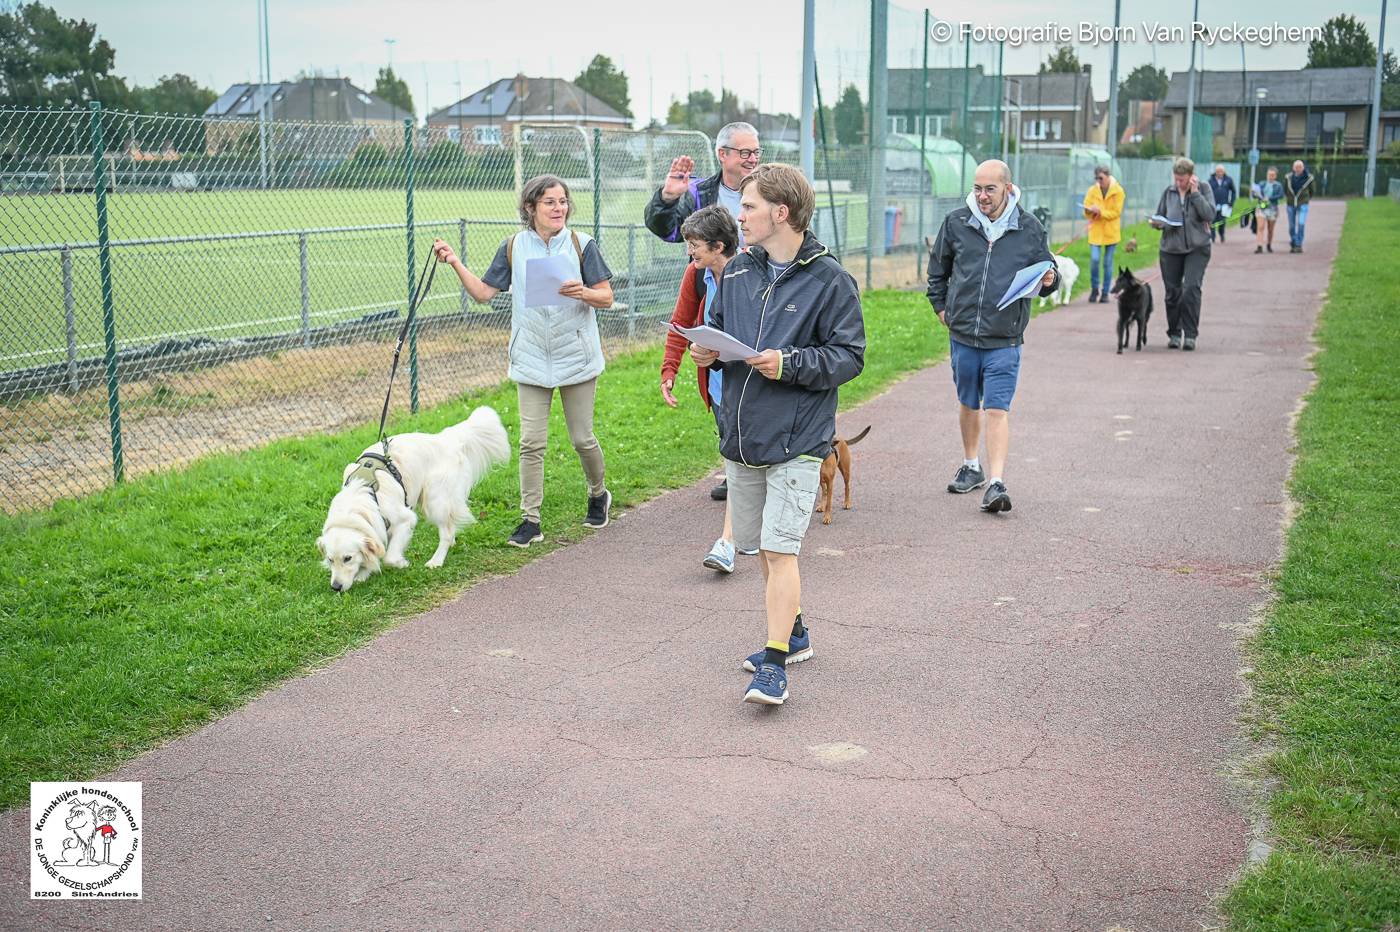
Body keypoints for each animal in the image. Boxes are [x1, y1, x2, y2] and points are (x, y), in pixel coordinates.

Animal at [317, 405, 509, 587]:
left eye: (347, 558)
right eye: (330, 559)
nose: (336, 587)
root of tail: (445, 439)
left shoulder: (405, 519)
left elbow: (389, 557)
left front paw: (401, 563)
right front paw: (363, 574)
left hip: (435, 500)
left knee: (446, 532)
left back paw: (436, 561)